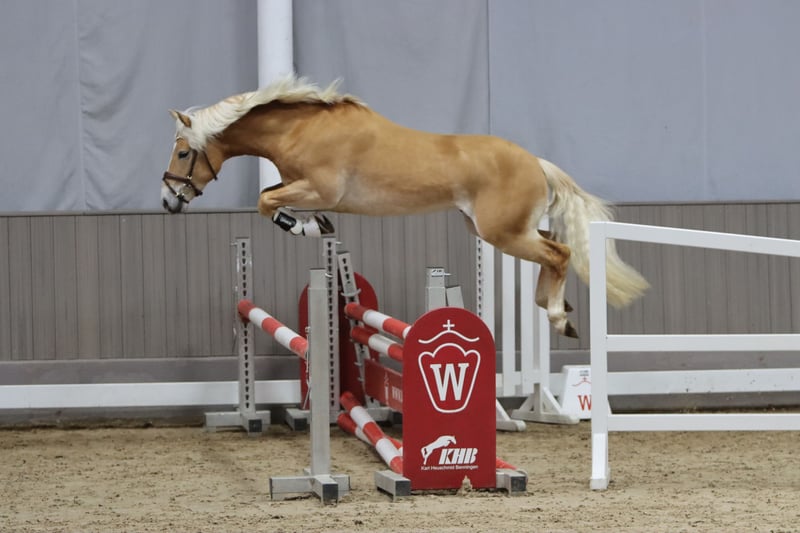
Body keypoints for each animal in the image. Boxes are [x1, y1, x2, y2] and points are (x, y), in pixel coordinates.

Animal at [161, 75, 648, 338]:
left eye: (183, 153)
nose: (168, 201)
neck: (301, 128)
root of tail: (536, 162)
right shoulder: (301, 185)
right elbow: (269, 195)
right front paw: (314, 226)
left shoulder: (320, 189)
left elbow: (266, 202)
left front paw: (306, 227)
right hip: (497, 229)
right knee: (551, 247)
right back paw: (553, 306)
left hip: (502, 233)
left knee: (559, 253)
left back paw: (558, 317)